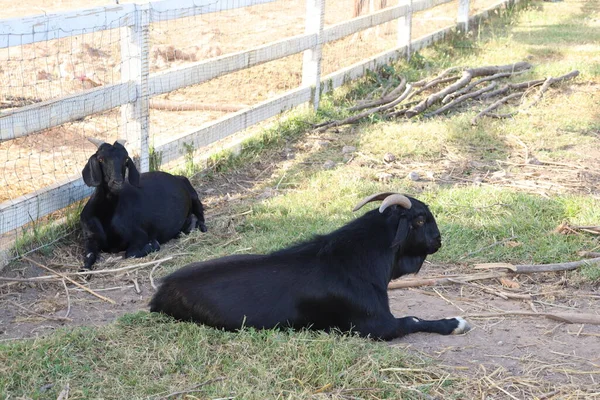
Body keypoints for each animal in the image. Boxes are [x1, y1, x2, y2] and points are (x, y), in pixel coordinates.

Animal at [79, 137, 207, 268]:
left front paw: (153, 244)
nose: (117, 182)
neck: (106, 215)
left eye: (126, 159)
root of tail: (176, 177)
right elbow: (88, 259)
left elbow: (131, 253)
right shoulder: (90, 239)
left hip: (194, 197)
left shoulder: (139, 235)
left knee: (201, 217)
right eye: (101, 158)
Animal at [149, 192, 468, 340]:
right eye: (420, 220)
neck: (358, 260)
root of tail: (161, 291)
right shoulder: (375, 325)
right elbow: (412, 320)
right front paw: (456, 323)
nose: (439, 240)